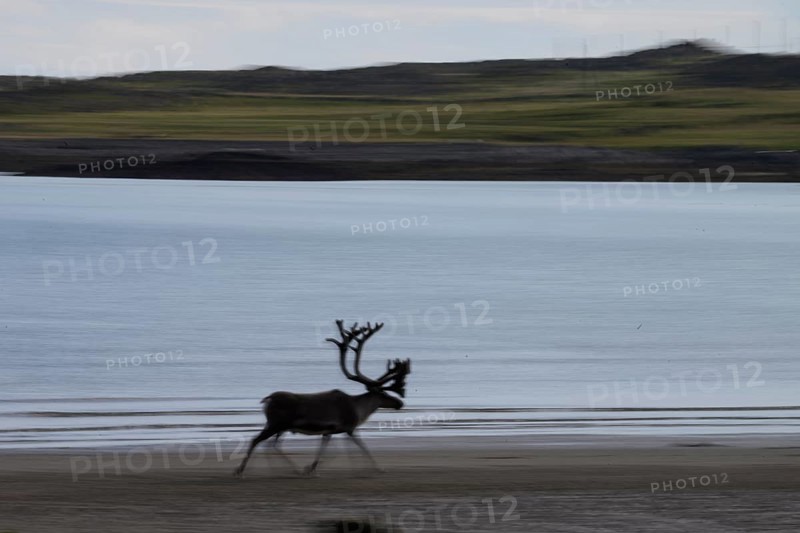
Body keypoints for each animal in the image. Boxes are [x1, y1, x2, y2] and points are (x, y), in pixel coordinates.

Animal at [233, 320, 411, 478]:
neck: (359, 409)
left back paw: (287, 469)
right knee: (257, 440)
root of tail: (268, 398)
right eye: (384, 393)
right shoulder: (349, 427)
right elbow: (362, 447)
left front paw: (311, 468)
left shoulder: (330, 431)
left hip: (278, 426)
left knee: (270, 444)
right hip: (277, 424)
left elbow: (328, 449)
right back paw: (240, 470)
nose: (400, 403)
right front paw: (379, 468)